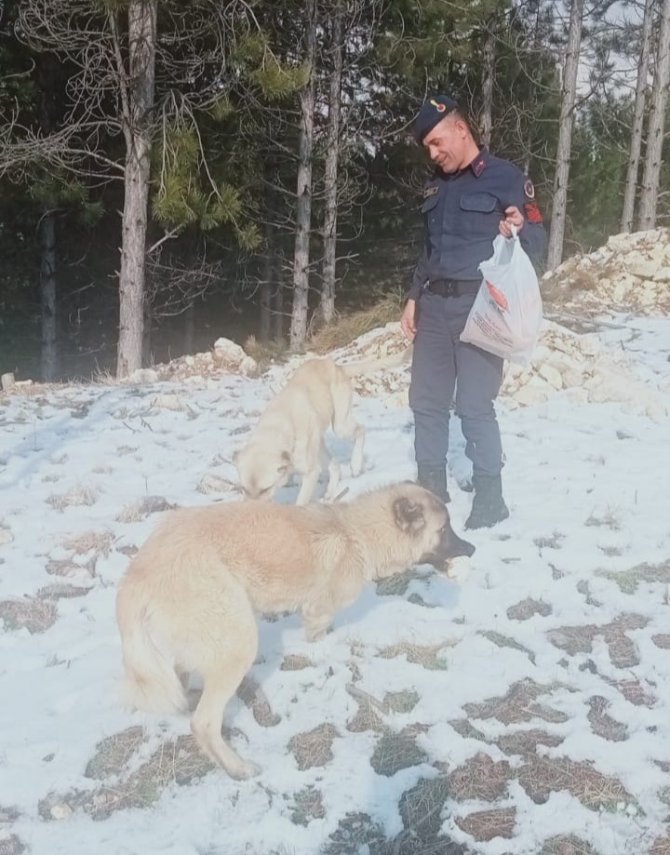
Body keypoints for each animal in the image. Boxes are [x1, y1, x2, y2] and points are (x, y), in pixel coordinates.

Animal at [117, 484, 472, 780]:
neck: (355, 533)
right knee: (203, 723)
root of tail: (136, 575)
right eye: (444, 529)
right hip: (239, 642)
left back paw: (187, 698)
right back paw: (238, 768)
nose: (473, 549)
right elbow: (320, 638)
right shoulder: (318, 614)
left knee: (179, 676)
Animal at [231, 352, 410, 504]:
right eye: (243, 489)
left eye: (265, 489)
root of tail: (337, 367)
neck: (275, 426)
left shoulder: (311, 473)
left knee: (361, 429)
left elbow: (301, 502)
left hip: (340, 426)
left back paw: (356, 464)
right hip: (320, 441)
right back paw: (330, 492)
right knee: (334, 464)